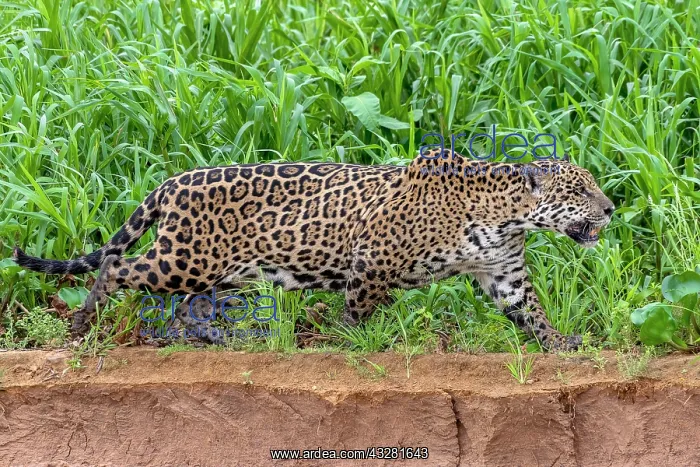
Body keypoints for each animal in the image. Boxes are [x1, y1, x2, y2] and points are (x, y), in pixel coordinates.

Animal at [13, 149, 614, 351]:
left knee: (187, 305)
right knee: (118, 264)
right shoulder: (373, 254)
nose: (611, 208)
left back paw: (214, 339)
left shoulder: (504, 271)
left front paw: (562, 344)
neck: (506, 215)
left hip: (215, 272)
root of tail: (171, 183)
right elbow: (359, 306)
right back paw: (82, 322)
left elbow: (530, 312)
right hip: (184, 258)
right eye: (582, 190)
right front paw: (346, 342)